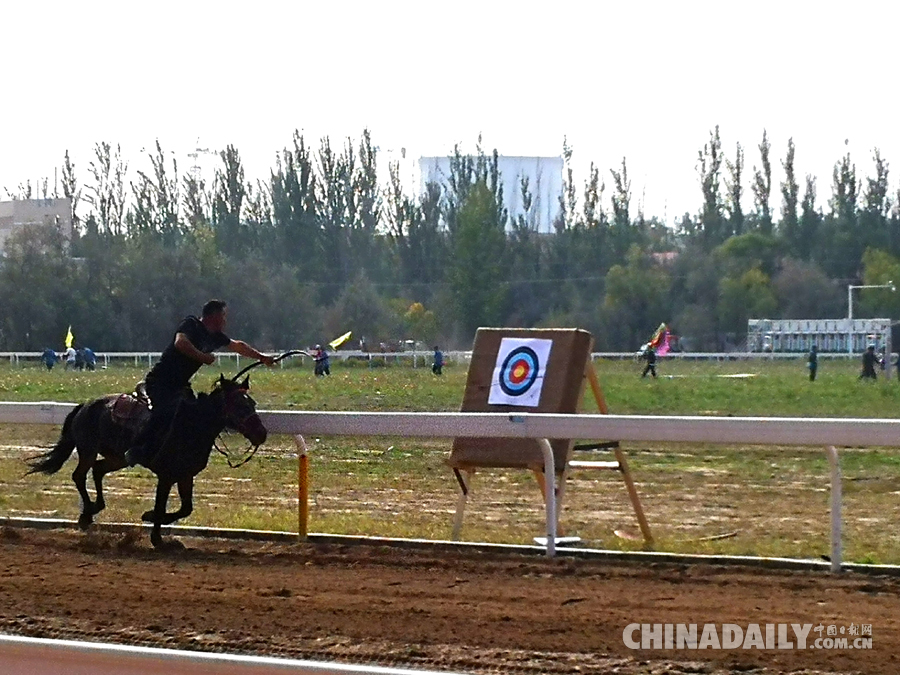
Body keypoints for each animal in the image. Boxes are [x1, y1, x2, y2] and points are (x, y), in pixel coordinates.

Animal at [26, 374, 266, 548]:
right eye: (241, 406)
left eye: (253, 403)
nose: (261, 434)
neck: (190, 425)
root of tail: (85, 405)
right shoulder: (166, 476)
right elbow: (161, 506)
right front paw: (157, 537)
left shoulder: (185, 475)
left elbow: (185, 508)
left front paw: (150, 518)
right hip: (88, 450)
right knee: (79, 475)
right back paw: (87, 514)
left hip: (117, 457)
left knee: (98, 470)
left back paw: (95, 508)